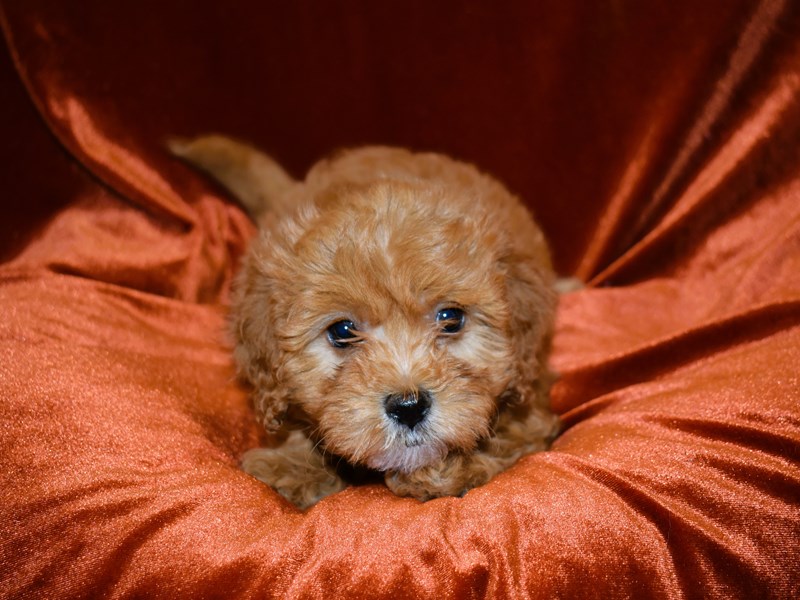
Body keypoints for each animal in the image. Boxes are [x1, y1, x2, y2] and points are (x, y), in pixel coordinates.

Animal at [170, 137, 556, 510]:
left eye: (451, 318)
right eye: (342, 331)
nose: (408, 407)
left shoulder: (532, 401)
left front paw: (444, 470)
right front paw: (291, 467)